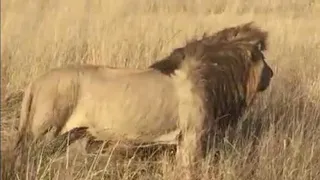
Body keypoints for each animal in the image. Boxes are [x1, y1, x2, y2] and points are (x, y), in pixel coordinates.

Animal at [15, 21, 274, 174]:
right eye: (263, 58)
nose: (271, 74)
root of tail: (35, 82)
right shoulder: (192, 136)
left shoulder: (182, 140)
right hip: (43, 133)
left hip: (74, 135)